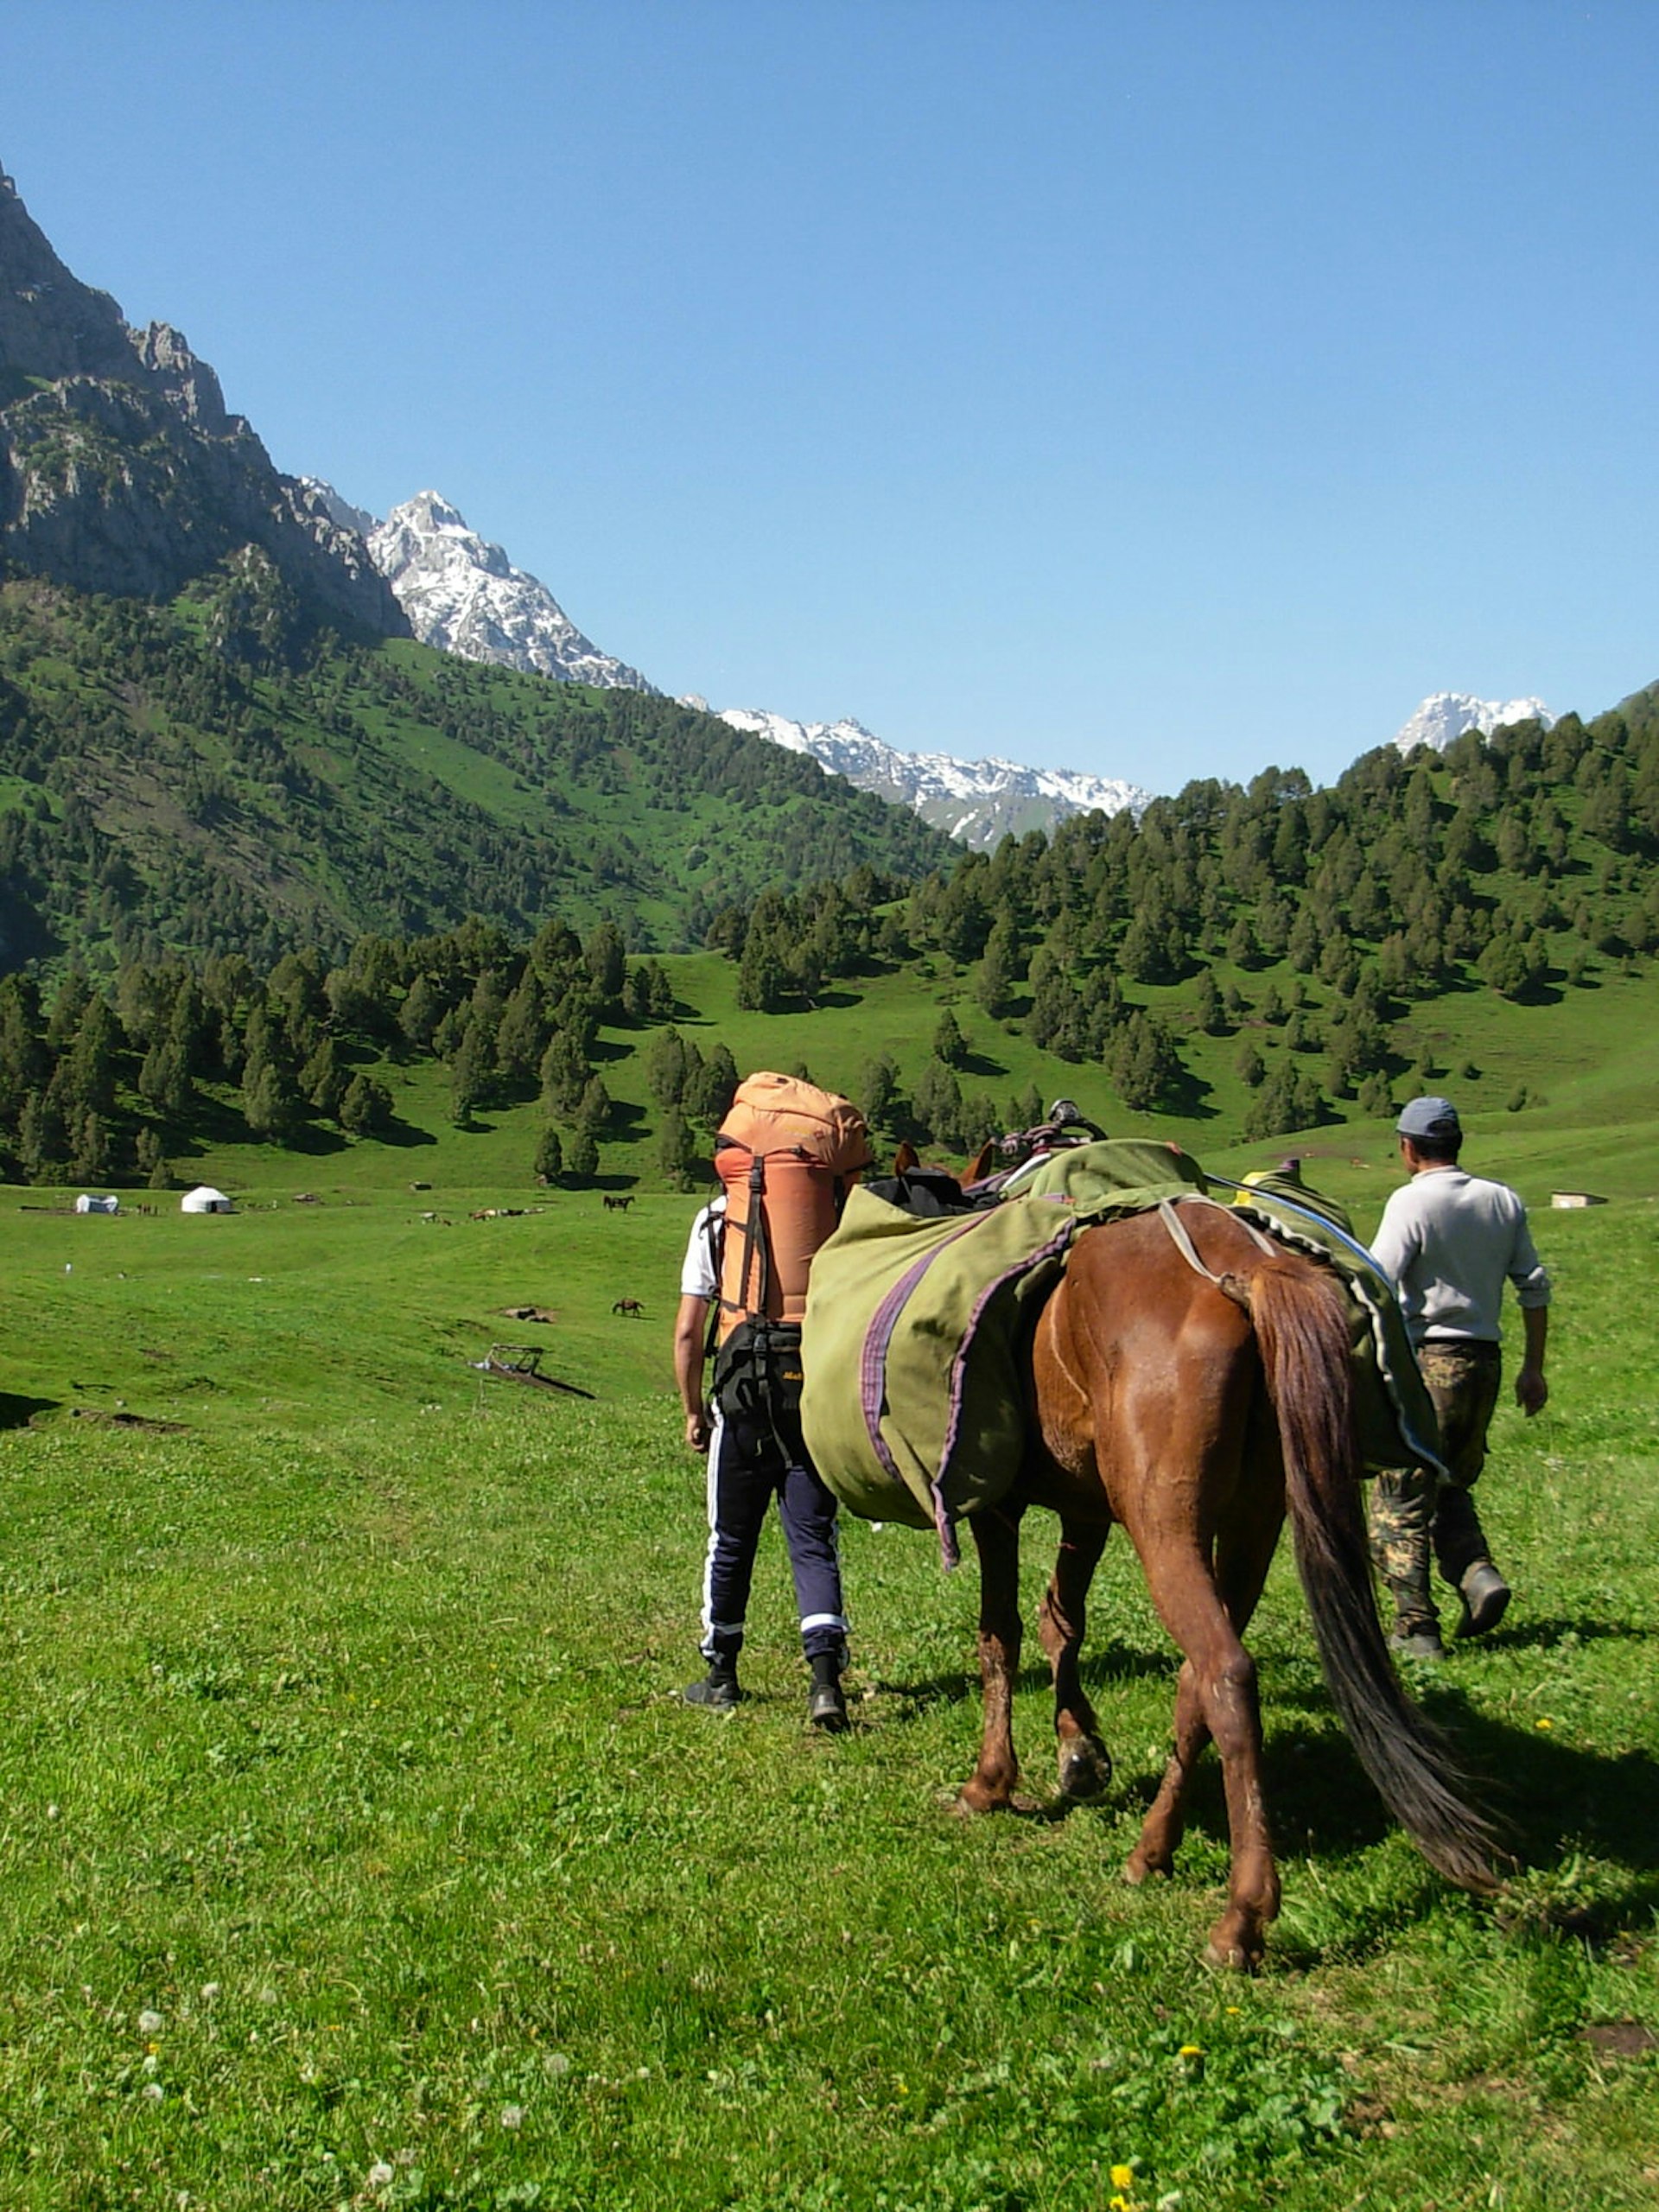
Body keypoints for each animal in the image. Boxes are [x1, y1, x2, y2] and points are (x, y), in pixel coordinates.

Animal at [960, 1203, 1503, 1964]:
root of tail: (1248, 1270)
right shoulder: (1085, 1509)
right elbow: (1061, 1621)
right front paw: (1080, 1750)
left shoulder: (1000, 1510)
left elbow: (1001, 1636)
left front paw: (992, 1780)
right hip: (1253, 1524)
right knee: (1197, 1683)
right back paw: (1152, 1850)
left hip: (1167, 1528)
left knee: (1226, 1675)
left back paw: (1241, 1917)